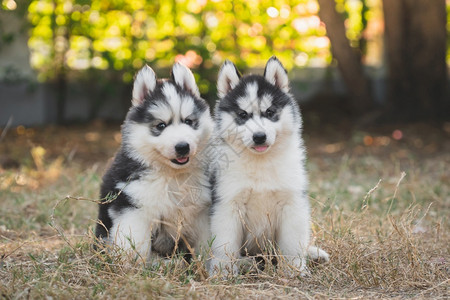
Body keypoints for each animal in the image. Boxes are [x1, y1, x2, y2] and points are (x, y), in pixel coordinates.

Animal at [94, 63, 213, 262]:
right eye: (161, 126)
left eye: (189, 121)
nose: (183, 147)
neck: (173, 175)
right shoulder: (133, 206)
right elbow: (135, 243)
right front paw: (133, 265)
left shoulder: (202, 211)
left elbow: (208, 243)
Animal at [209, 55, 328, 276]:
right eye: (243, 115)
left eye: (270, 112)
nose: (259, 137)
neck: (260, 163)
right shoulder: (227, 205)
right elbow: (224, 245)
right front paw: (223, 272)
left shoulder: (292, 203)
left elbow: (291, 245)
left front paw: (294, 271)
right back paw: (246, 263)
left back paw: (313, 254)